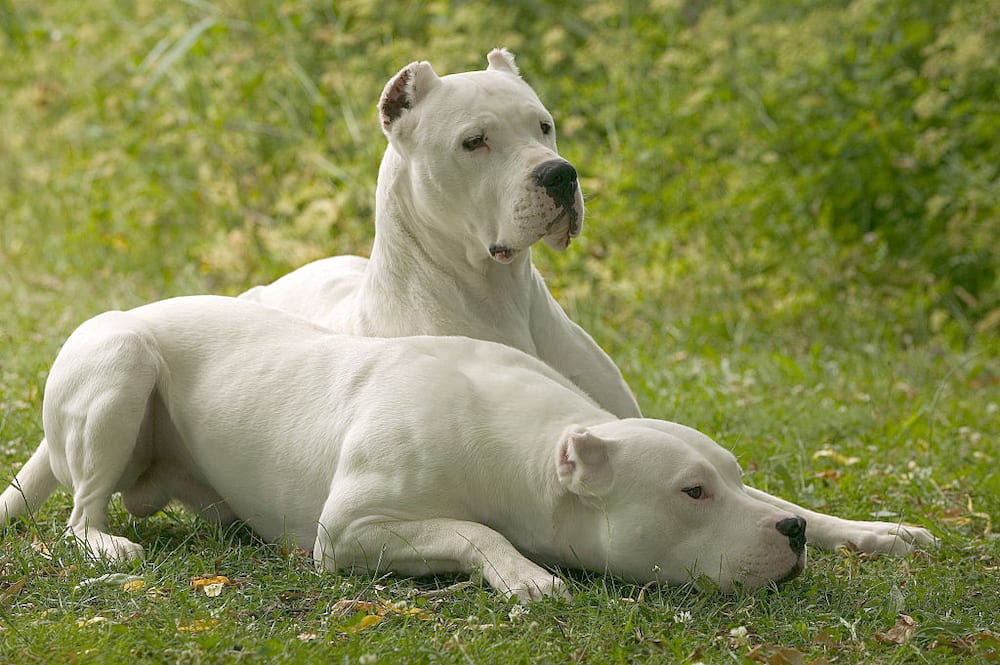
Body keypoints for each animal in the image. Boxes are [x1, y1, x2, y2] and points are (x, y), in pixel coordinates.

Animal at [1, 298, 936, 600]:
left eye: (732, 480)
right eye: (691, 493)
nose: (788, 540)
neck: (529, 447)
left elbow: (808, 497)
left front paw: (869, 529)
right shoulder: (354, 529)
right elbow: (474, 529)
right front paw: (526, 574)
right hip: (120, 364)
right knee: (81, 512)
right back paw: (105, 540)